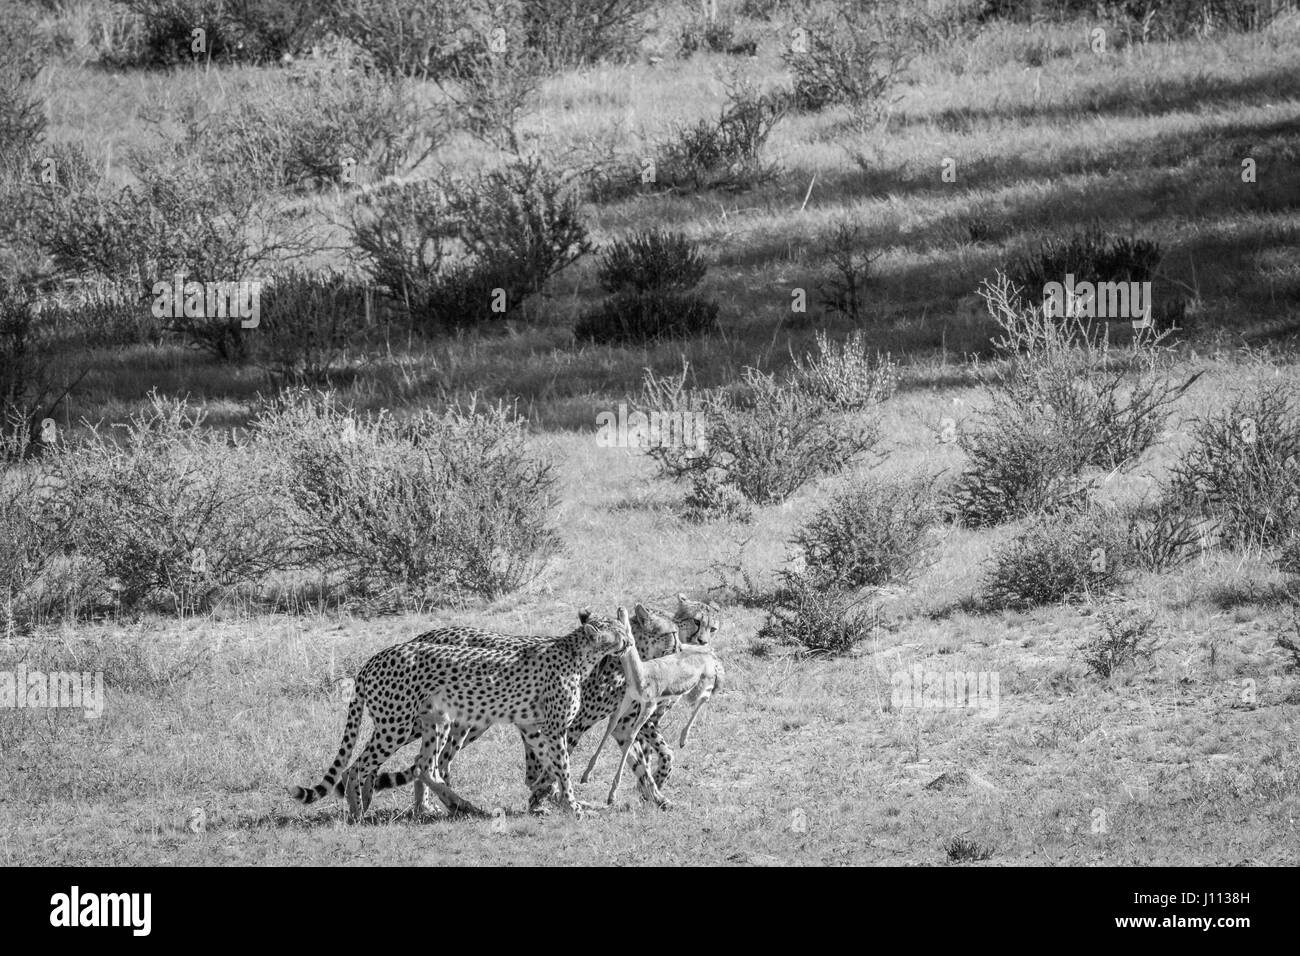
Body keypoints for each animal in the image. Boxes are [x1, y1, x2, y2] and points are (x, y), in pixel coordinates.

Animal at [287, 608, 631, 816]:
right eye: (618, 631)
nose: (628, 642)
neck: (579, 654)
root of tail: (373, 659)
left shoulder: (534, 726)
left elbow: (550, 767)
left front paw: (551, 799)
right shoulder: (554, 728)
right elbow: (563, 767)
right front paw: (572, 807)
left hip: (434, 722)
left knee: (424, 766)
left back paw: (447, 807)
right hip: (398, 725)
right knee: (358, 767)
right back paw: (359, 811)